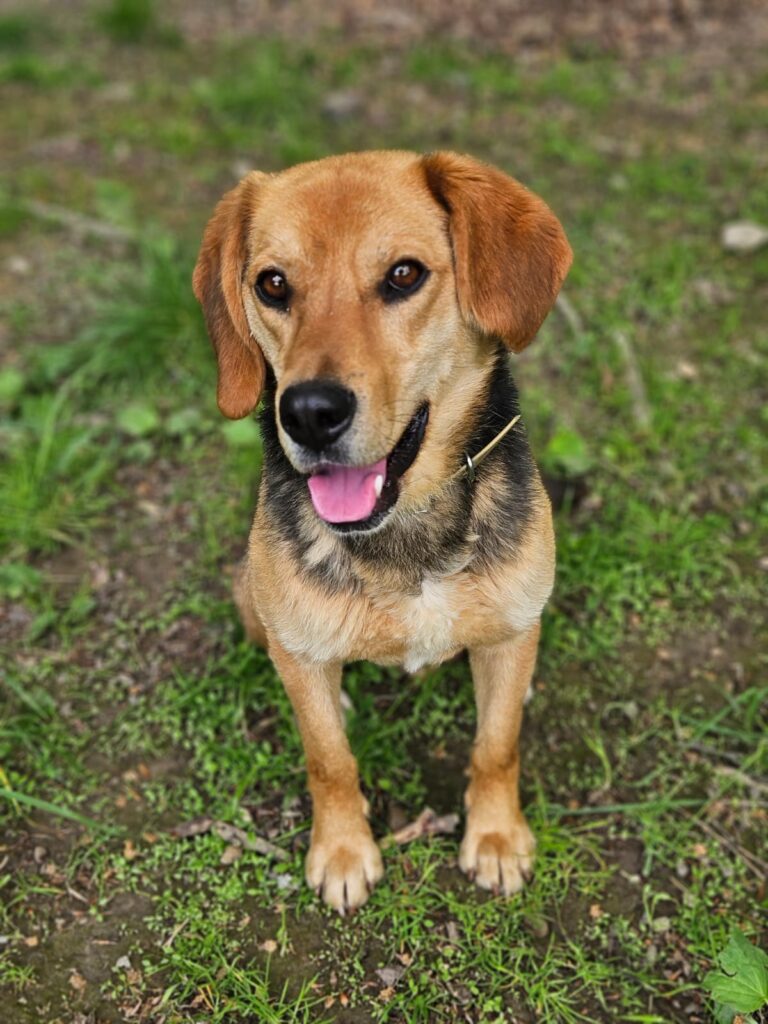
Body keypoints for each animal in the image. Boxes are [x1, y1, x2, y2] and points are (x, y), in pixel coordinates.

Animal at [193, 150, 572, 913]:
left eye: (403, 274)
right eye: (272, 284)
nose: (309, 412)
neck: (406, 528)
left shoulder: (515, 626)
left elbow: (497, 745)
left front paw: (495, 838)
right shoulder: (302, 656)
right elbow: (329, 759)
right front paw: (342, 852)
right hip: (253, 602)